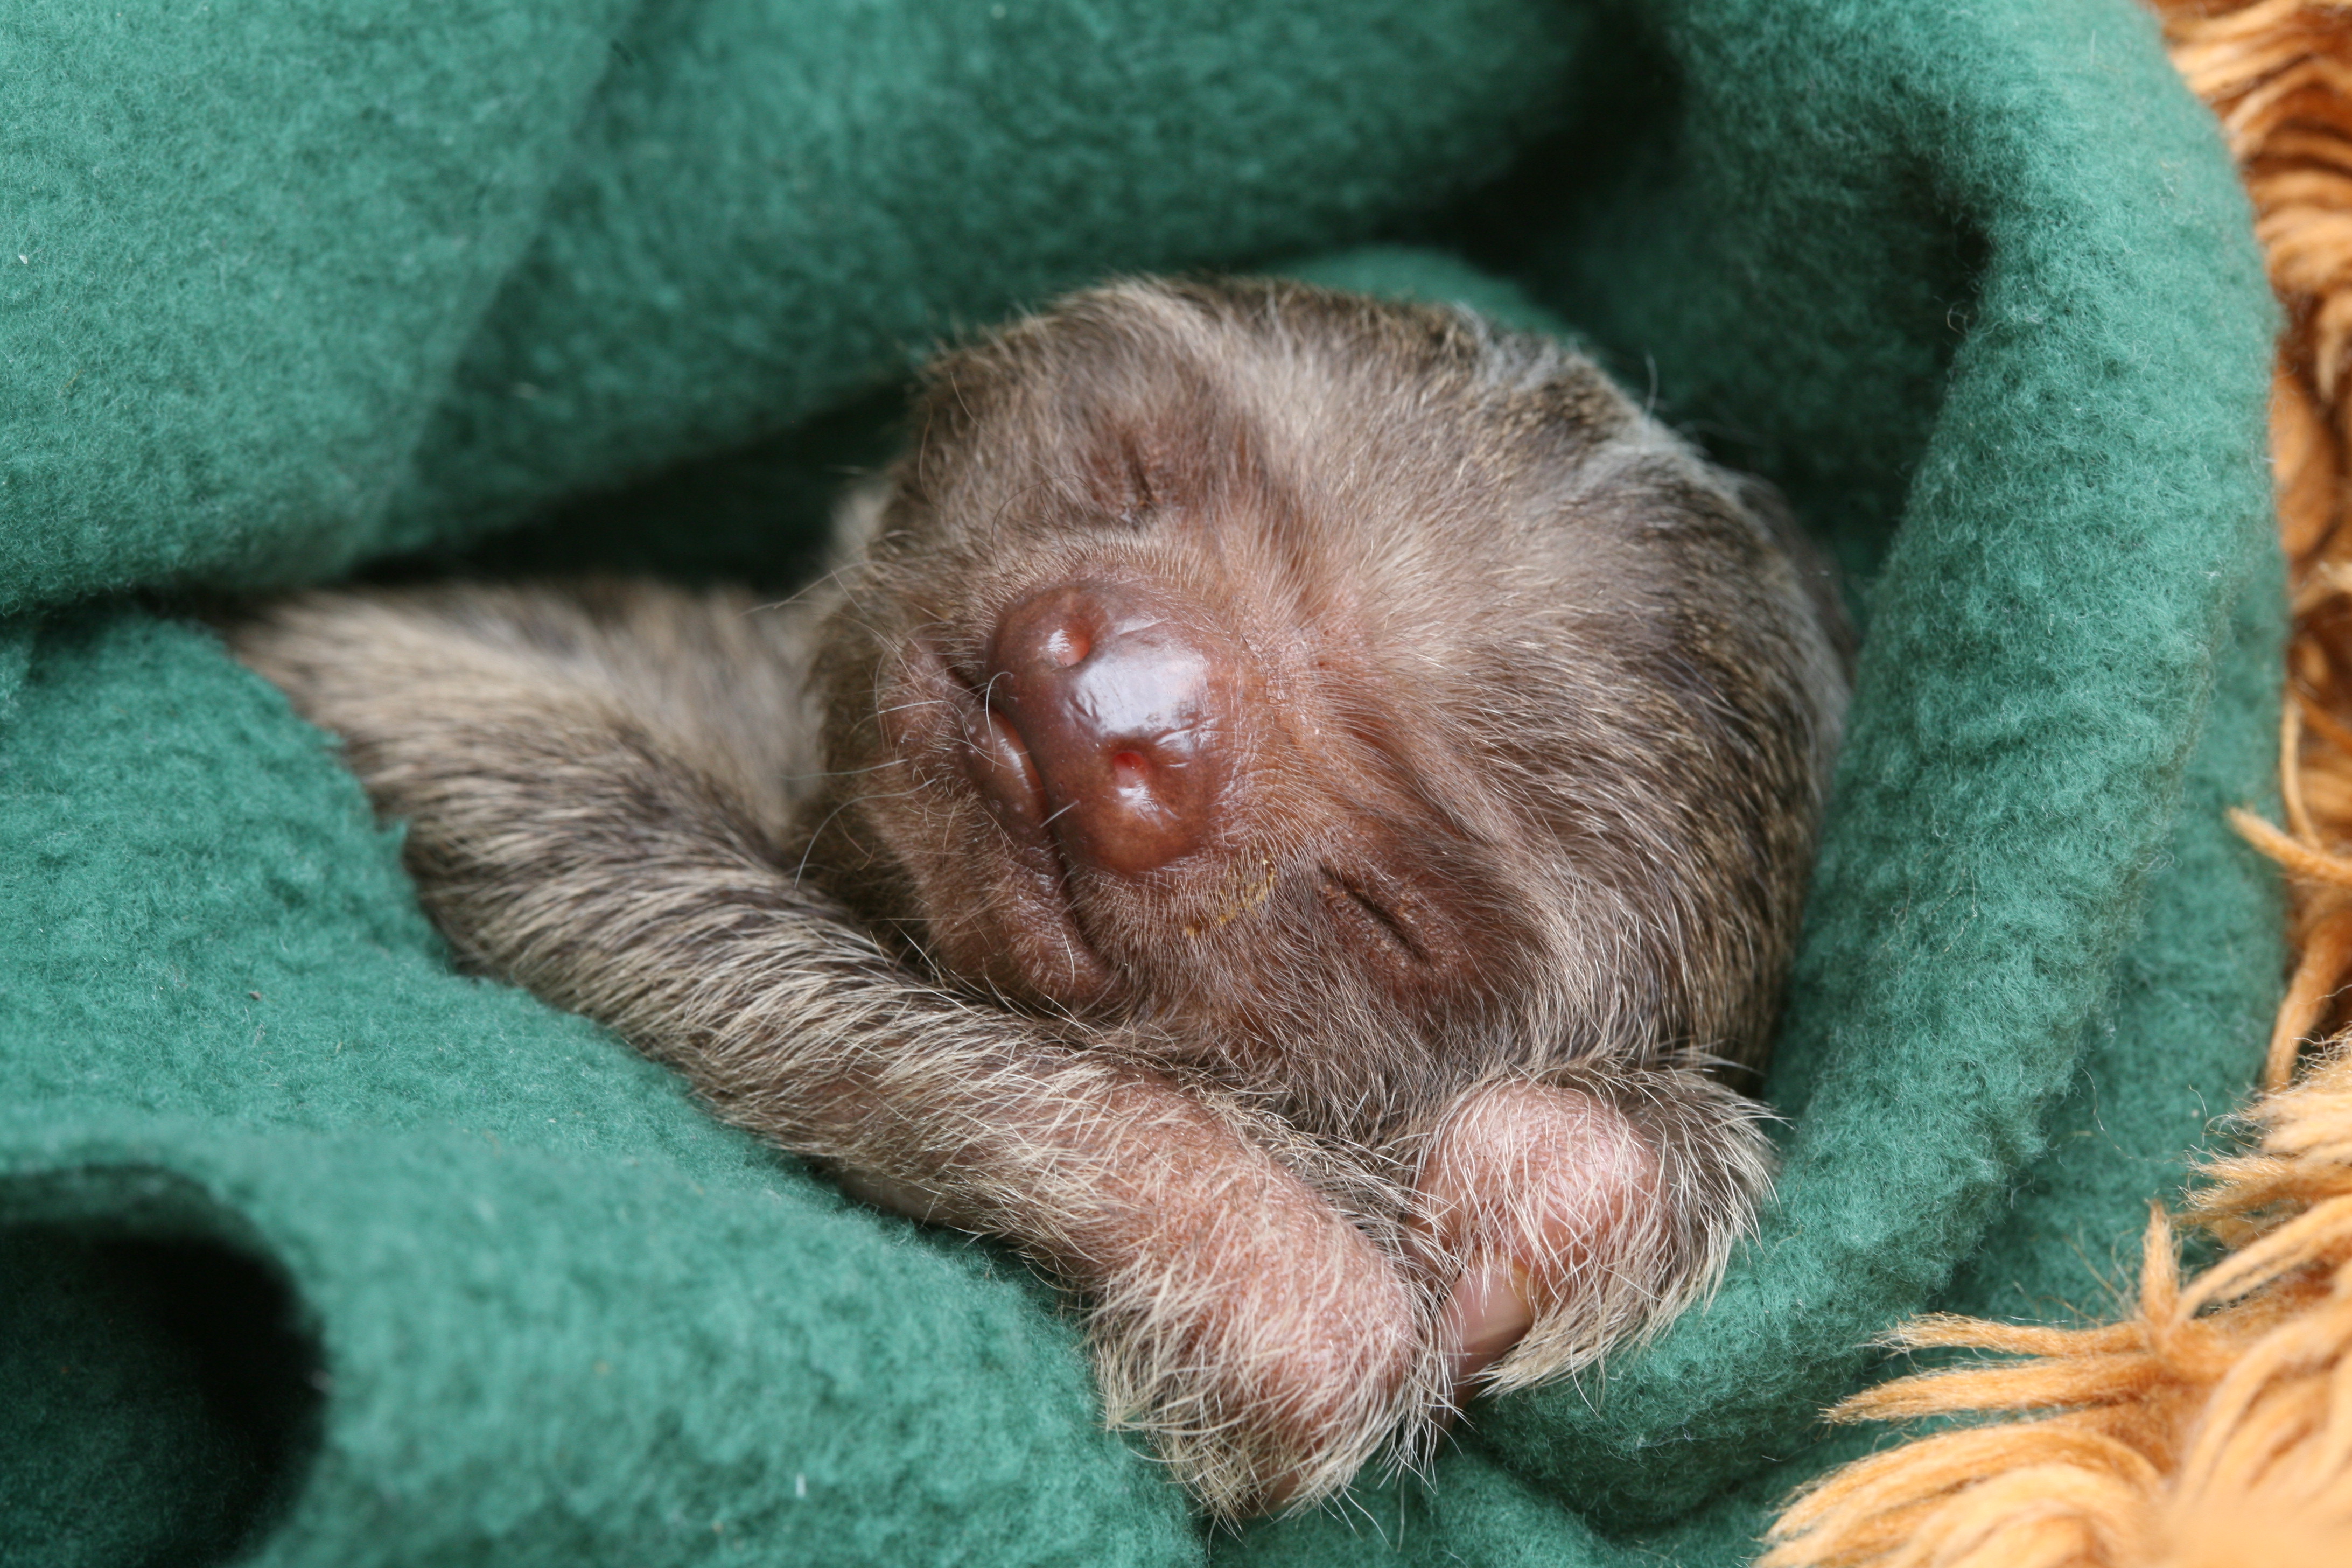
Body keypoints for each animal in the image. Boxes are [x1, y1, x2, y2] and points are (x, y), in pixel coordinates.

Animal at [229, 278, 1850, 1518]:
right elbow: (449, 706)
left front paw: (1563, 1175)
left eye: (1385, 911)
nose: (1119, 709)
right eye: (1135, 470)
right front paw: (1261, 1245)